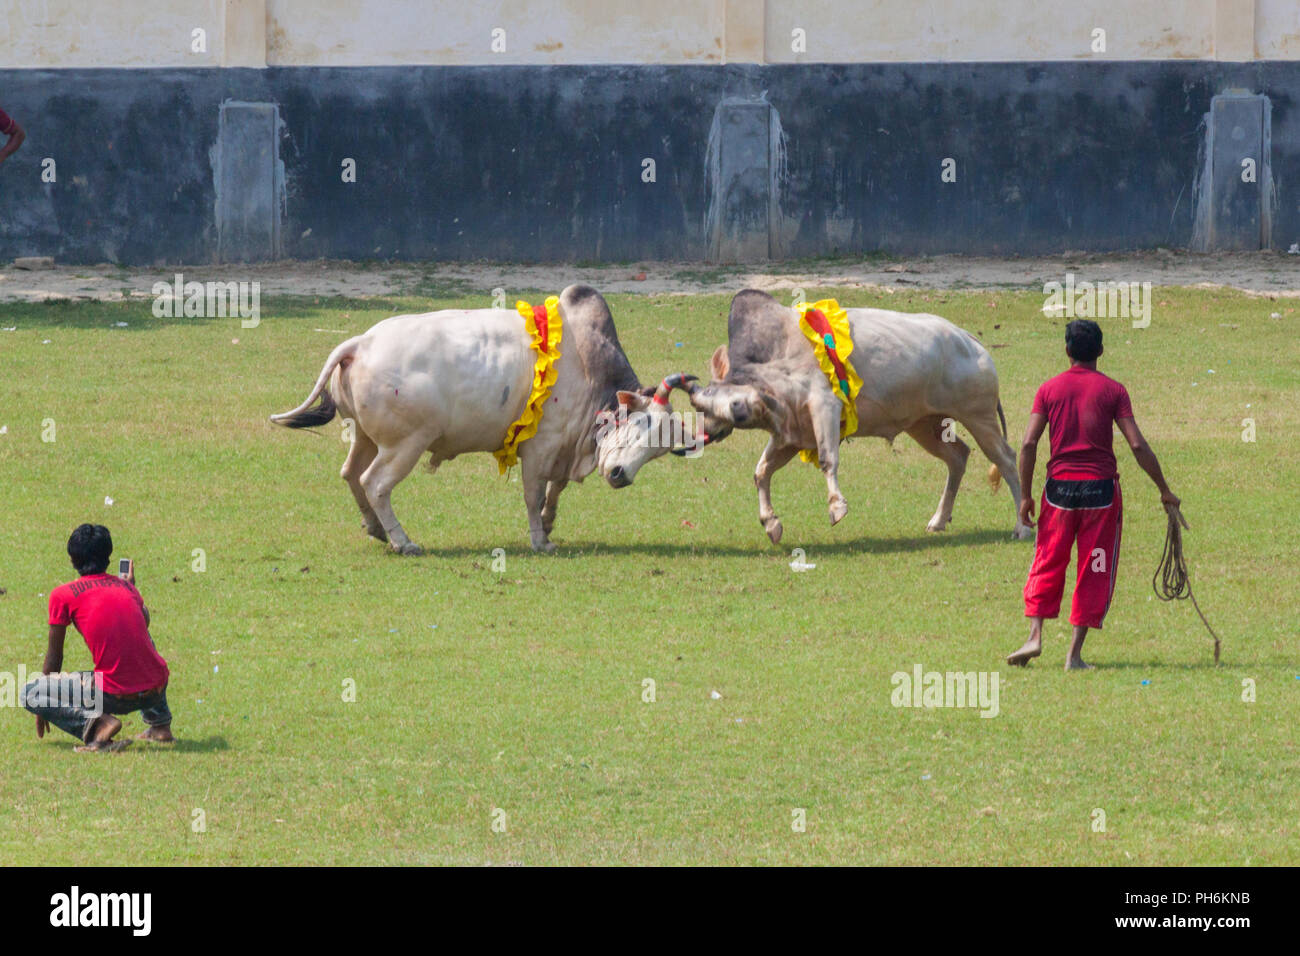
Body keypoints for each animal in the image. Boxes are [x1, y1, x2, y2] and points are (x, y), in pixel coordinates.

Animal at [270, 283, 686, 554]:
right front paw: (539, 540)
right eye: (640, 423)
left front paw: (549, 525)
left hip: (366, 438)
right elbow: (535, 494)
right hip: (405, 445)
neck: (588, 365)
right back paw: (403, 541)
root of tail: (360, 343)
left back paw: (376, 529)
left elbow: (556, 490)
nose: (620, 475)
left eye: (659, 451)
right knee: (374, 483)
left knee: (351, 473)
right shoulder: (540, 446)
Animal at [665, 290, 1029, 546]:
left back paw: (1021, 526)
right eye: (702, 409)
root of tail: (971, 341)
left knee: (1007, 459)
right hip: (924, 425)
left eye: (737, 408)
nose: (707, 433)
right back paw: (939, 520)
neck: (778, 356)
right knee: (958, 457)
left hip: (979, 417)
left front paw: (836, 507)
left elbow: (828, 460)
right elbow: (761, 472)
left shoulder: (824, 406)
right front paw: (771, 523)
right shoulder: (791, 432)